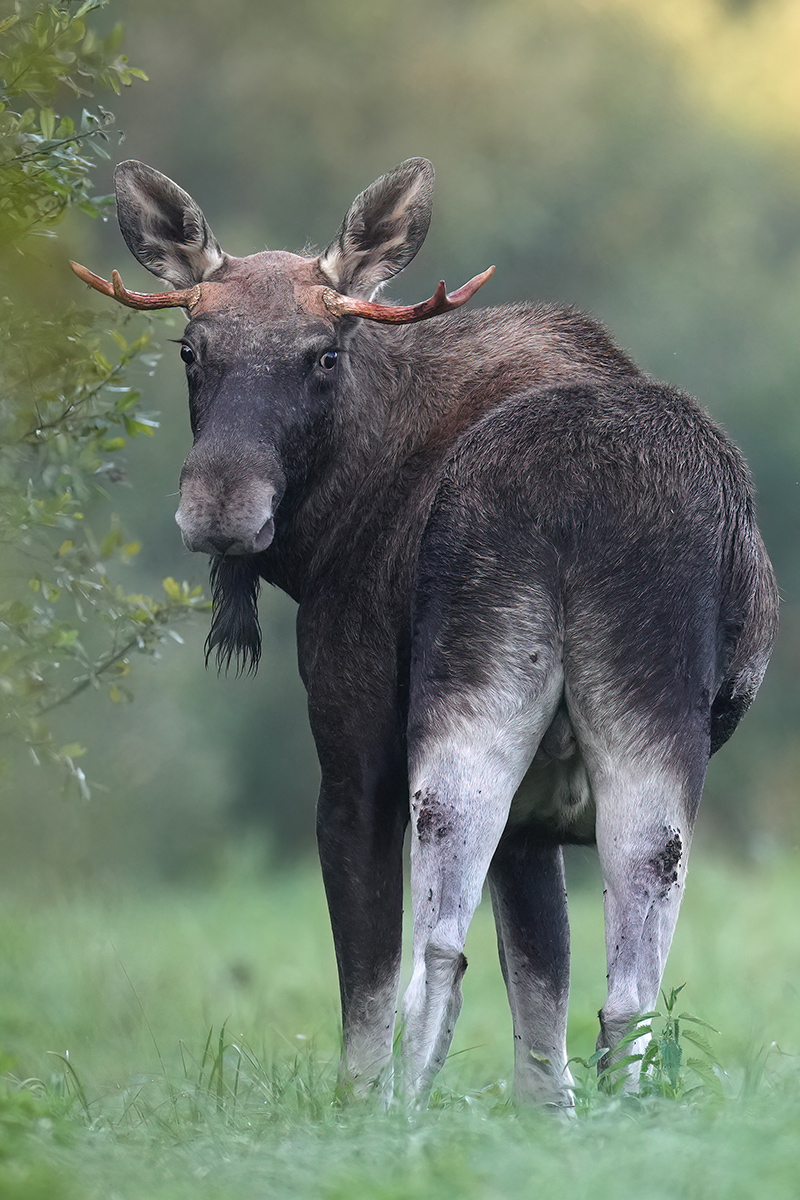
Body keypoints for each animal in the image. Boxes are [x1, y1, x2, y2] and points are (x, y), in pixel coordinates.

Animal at [71, 157, 777, 1104]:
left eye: (325, 353)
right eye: (192, 350)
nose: (220, 508)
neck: (328, 525)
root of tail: (578, 502)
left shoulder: (354, 739)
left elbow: (366, 981)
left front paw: (357, 1108)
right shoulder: (539, 813)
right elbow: (544, 990)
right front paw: (547, 1118)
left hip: (463, 706)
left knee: (436, 954)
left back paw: (401, 1110)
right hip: (650, 730)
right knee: (629, 982)